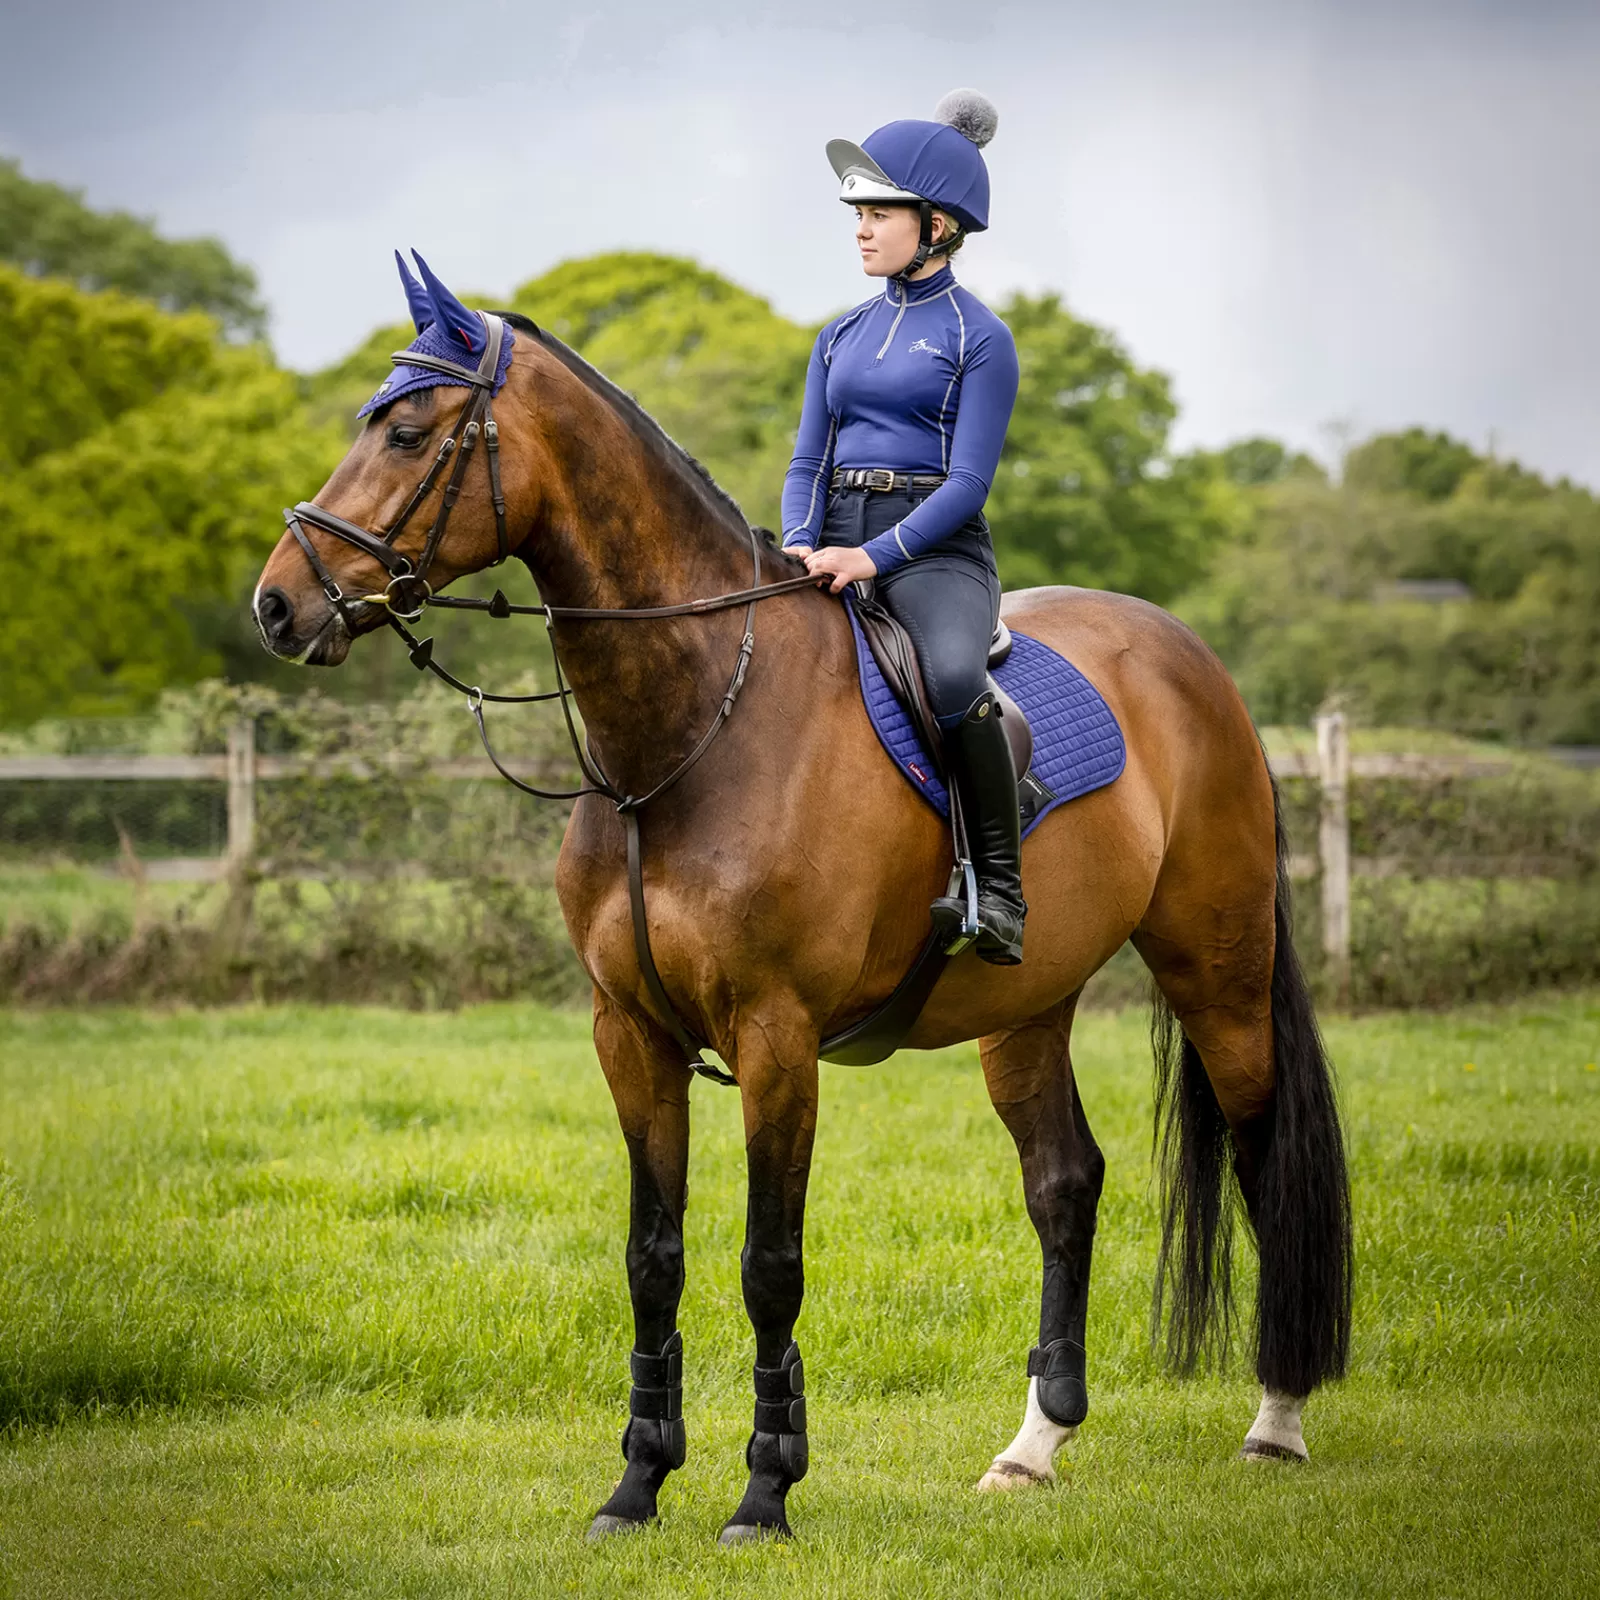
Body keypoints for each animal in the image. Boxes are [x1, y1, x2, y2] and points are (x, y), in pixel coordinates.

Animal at [256, 268, 1356, 1542]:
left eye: (407, 432)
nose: (277, 605)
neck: (692, 730)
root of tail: (1194, 661)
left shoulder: (776, 1038)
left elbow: (767, 1263)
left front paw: (764, 1491)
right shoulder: (629, 1035)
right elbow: (653, 1256)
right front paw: (637, 1482)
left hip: (1217, 974)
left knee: (1264, 1162)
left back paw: (1276, 1421)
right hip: (1026, 1006)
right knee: (1064, 1183)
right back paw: (1033, 1446)